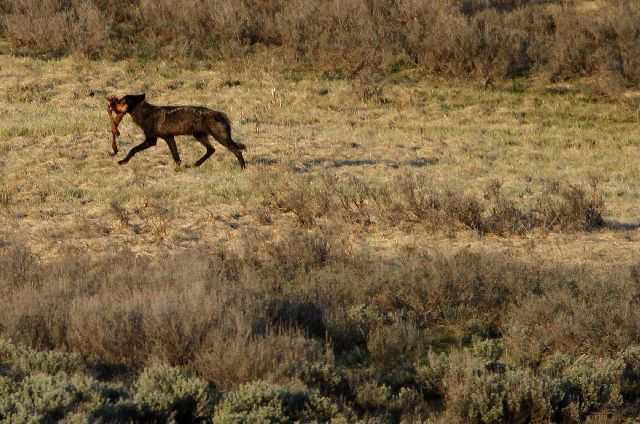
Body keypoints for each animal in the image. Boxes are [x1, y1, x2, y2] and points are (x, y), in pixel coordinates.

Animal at [110, 94, 245, 169]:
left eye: (121, 101)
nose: (111, 105)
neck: (145, 114)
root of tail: (220, 113)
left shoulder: (151, 140)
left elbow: (132, 150)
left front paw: (123, 161)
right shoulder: (169, 138)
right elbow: (176, 157)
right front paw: (178, 169)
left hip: (220, 138)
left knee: (237, 151)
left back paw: (243, 168)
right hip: (199, 136)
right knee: (211, 150)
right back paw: (195, 165)